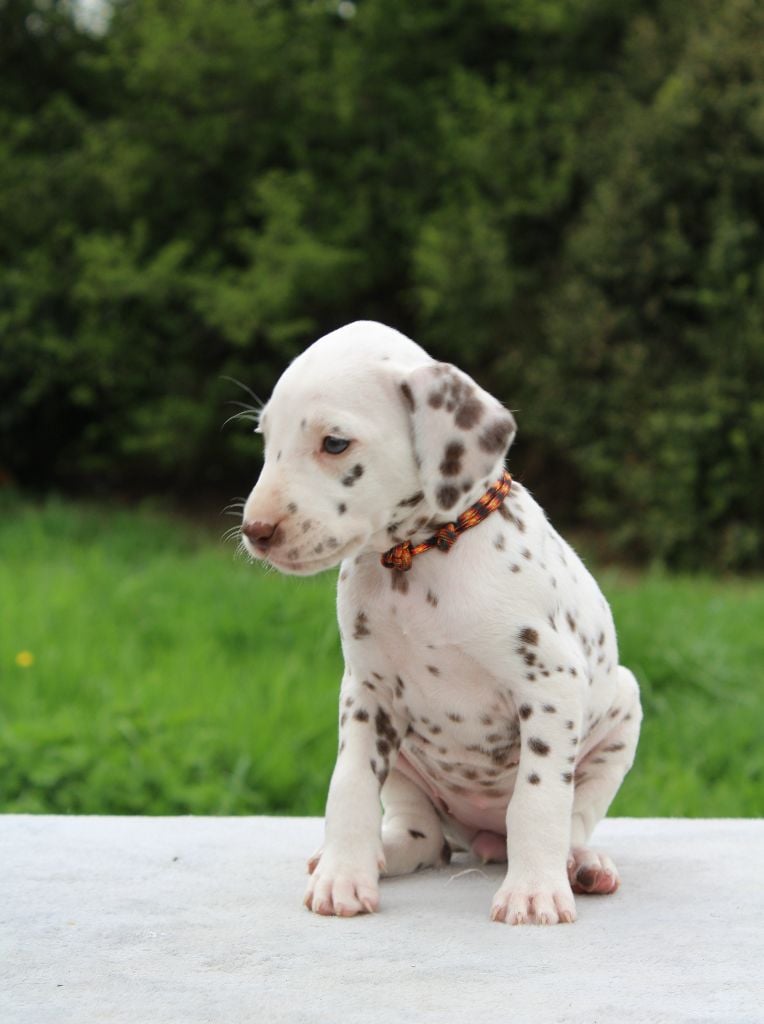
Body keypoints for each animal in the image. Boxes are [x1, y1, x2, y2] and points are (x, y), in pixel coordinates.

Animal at [241, 321, 641, 925]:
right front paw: (343, 875)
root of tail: (481, 837)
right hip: (409, 771)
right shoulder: (365, 694)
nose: (255, 530)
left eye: (334, 443)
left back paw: (582, 866)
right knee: (424, 839)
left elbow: (540, 798)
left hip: (621, 716)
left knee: (574, 819)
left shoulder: (549, 684)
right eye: (266, 440)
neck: (419, 558)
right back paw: (382, 853)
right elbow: (350, 786)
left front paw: (533, 892)